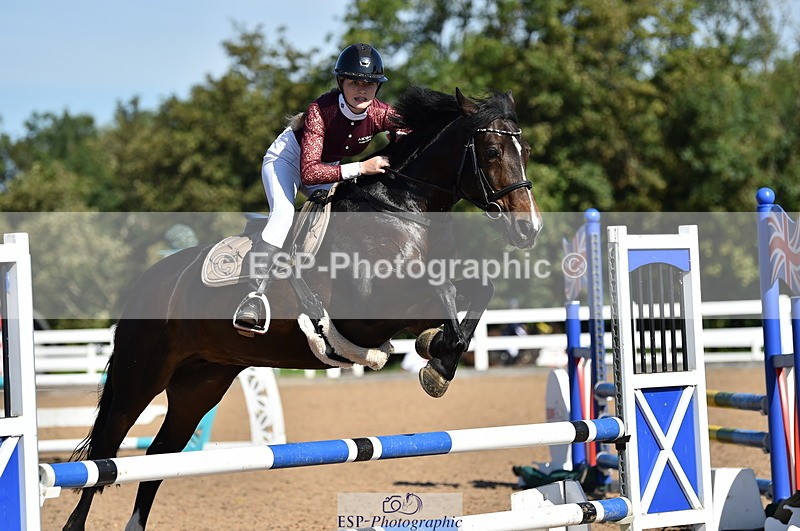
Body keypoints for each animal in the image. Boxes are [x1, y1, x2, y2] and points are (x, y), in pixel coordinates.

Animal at [62, 85, 542, 530]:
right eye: (493, 151)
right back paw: (75, 522)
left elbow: (477, 290)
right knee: (105, 451)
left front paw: (436, 355)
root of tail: (149, 281)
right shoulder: (369, 311)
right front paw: (435, 358)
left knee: (161, 455)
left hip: (200, 381)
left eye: (527, 151)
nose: (529, 229)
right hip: (141, 373)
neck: (401, 209)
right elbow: (442, 292)